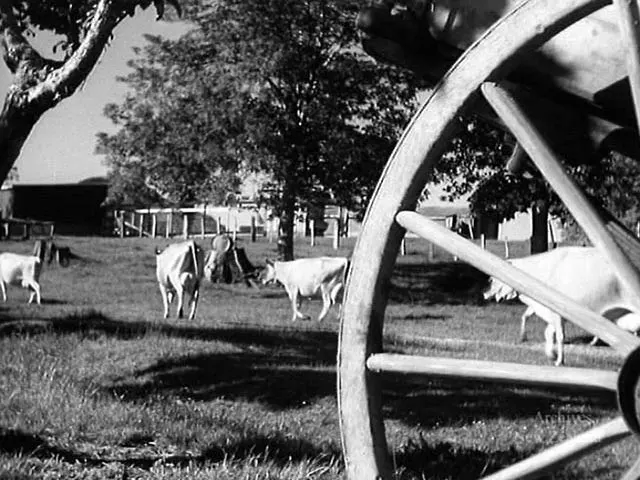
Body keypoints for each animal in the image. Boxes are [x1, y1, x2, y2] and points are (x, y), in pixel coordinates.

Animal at [484, 248, 640, 368]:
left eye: (491, 279)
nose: (485, 294)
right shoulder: (552, 313)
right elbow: (548, 333)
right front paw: (551, 355)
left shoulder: (557, 312)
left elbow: (559, 336)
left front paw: (560, 360)